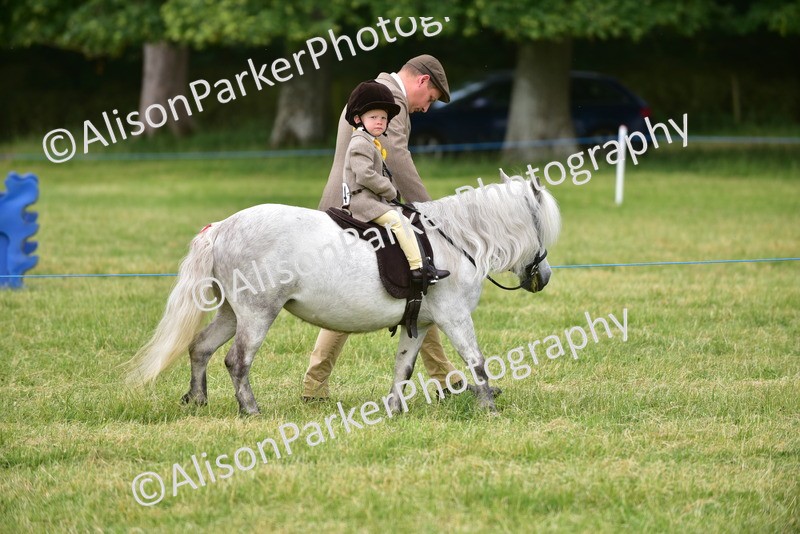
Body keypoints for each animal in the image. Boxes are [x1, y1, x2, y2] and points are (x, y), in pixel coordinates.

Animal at [127, 170, 561, 415]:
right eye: (541, 226)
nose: (544, 276)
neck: (453, 238)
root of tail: (222, 227)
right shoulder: (454, 316)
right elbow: (476, 360)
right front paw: (488, 406)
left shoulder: (420, 322)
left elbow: (403, 368)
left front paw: (394, 409)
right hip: (257, 313)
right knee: (237, 361)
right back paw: (250, 409)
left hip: (233, 313)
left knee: (200, 347)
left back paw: (198, 400)